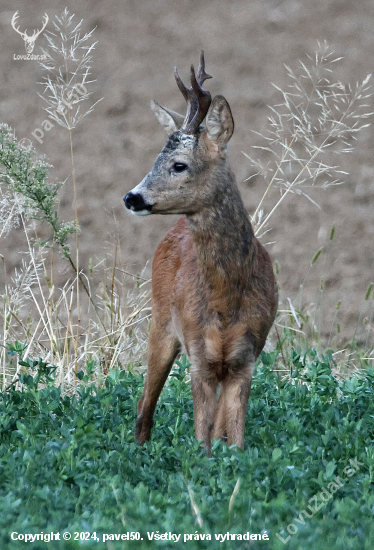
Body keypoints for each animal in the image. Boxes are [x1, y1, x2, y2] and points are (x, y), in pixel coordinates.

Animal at [124, 54, 276, 454]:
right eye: (154, 159)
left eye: (179, 164)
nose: (131, 197)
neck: (226, 303)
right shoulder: (198, 357)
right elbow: (201, 440)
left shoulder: (245, 358)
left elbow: (234, 440)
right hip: (161, 322)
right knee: (144, 405)